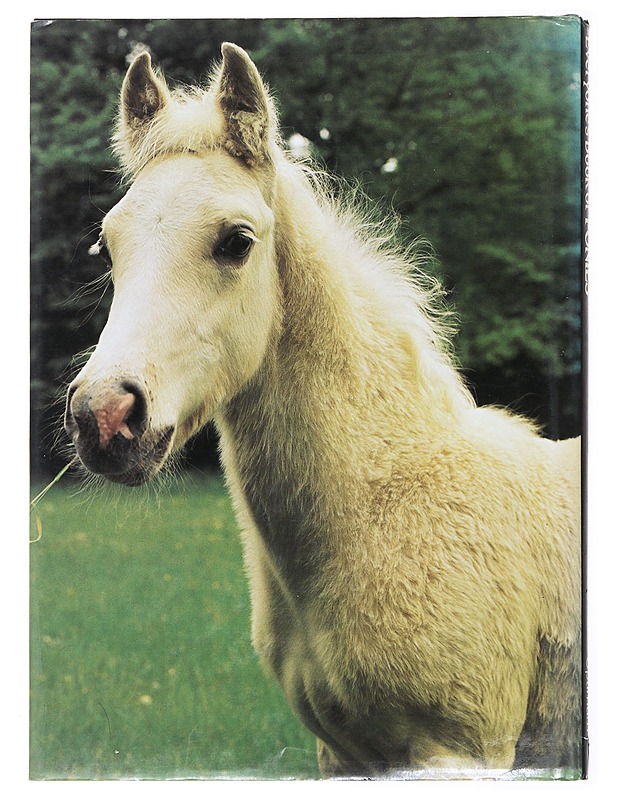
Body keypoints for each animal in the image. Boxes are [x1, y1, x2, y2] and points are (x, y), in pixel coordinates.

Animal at [64, 44, 582, 778]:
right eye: (109, 242)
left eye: (236, 240)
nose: (104, 418)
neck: (383, 501)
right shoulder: (342, 755)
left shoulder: (461, 747)